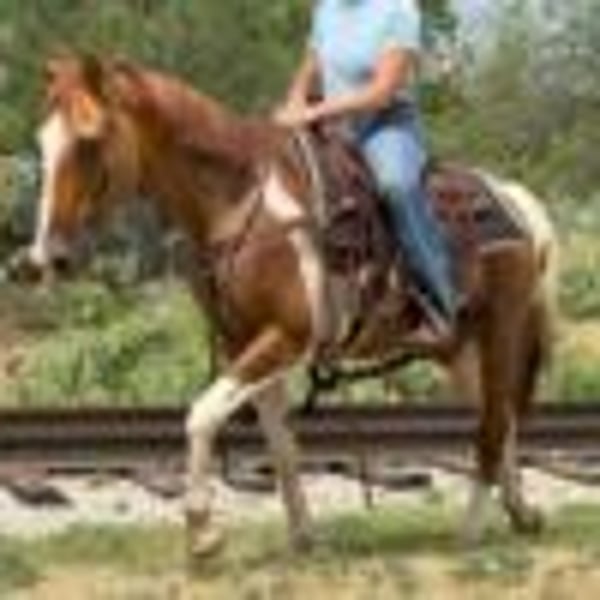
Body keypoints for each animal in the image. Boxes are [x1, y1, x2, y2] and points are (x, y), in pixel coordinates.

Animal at [10, 53, 558, 555]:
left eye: (90, 139)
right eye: (42, 141)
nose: (45, 256)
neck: (240, 201)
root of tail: (513, 199)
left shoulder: (286, 336)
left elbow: (201, 415)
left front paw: (202, 531)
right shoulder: (243, 342)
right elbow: (281, 443)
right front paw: (303, 536)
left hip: (501, 330)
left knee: (492, 426)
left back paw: (470, 532)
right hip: (460, 347)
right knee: (500, 419)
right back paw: (521, 512)